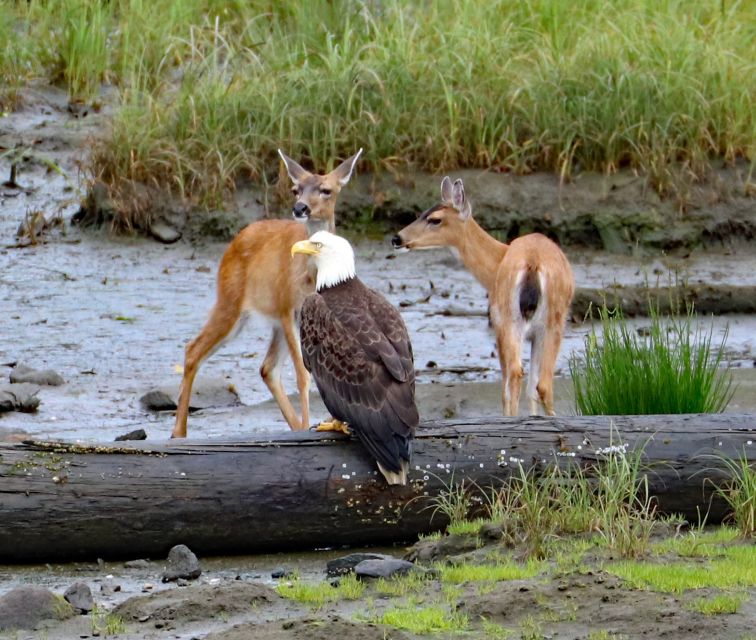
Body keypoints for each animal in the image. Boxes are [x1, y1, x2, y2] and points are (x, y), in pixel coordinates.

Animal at [171, 151, 364, 440]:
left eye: (326, 190)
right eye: (296, 189)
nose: (300, 208)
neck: (312, 276)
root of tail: (235, 240)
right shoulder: (286, 307)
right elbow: (303, 375)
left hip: (270, 320)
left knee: (267, 368)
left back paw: (297, 426)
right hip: (231, 301)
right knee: (193, 349)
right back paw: (178, 432)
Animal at [396, 176, 572, 416]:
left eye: (435, 219)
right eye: (422, 212)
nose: (396, 238)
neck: (497, 262)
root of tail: (533, 263)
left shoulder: (498, 323)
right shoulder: (533, 334)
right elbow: (532, 389)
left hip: (513, 320)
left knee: (517, 377)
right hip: (548, 322)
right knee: (540, 384)